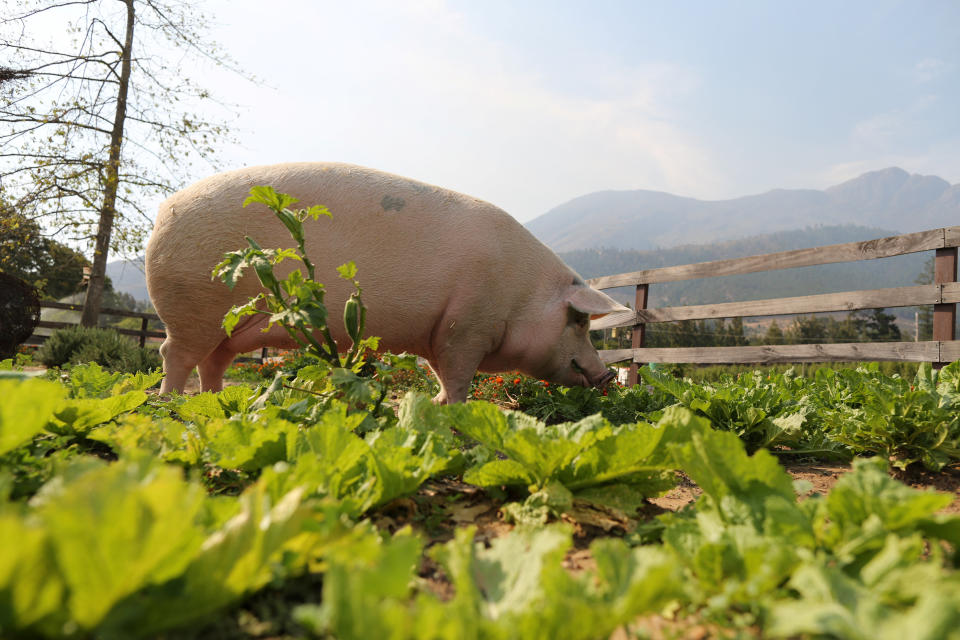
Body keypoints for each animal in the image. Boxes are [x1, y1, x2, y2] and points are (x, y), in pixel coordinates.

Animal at [144, 162, 632, 402]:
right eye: (579, 322)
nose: (609, 374)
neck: (521, 294)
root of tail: (165, 209)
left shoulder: (437, 332)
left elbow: (439, 374)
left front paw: (436, 405)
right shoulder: (467, 326)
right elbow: (459, 376)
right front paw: (456, 410)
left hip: (227, 324)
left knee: (213, 362)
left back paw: (213, 403)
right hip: (195, 303)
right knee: (174, 354)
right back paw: (170, 403)